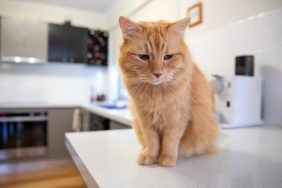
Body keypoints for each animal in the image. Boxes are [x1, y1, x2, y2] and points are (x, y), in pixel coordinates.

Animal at [118, 16, 219, 166]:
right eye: (143, 57)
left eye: (167, 57)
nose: (157, 73)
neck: (156, 94)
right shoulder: (145, 120)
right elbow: (152, 141)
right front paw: (150, 156)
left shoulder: (176, 120)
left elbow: (169, 142)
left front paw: (167, 159)